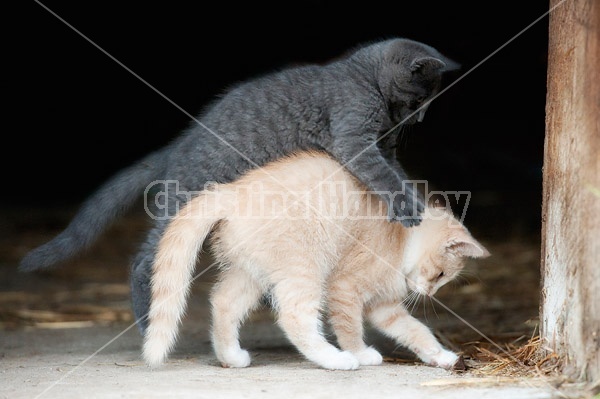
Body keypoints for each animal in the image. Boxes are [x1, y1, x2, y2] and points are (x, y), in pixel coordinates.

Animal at [19, 37, 460, 332]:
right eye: (419, 101)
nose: (419, 119)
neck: (364, 79)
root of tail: (177, 145)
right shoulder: (355, 138)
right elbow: (385, 177)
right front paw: (408, 209)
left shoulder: (385, 148)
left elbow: (398, 175)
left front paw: (419, 204)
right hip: (184, 198)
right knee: (145, 259)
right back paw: (147, 321)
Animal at [143, 151, 490, 372]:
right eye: (441, 274)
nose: (429, 294)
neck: (400, 240)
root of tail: (229, 192)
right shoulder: (344, 289)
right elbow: (350, 328)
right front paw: (359, 353)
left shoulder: (385, 307)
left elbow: (415, 330)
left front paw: (441, 356)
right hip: (305, 268)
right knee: (294, 317)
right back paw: (335, 359)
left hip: (251, 273)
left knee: (224, 302)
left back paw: (231, 356)